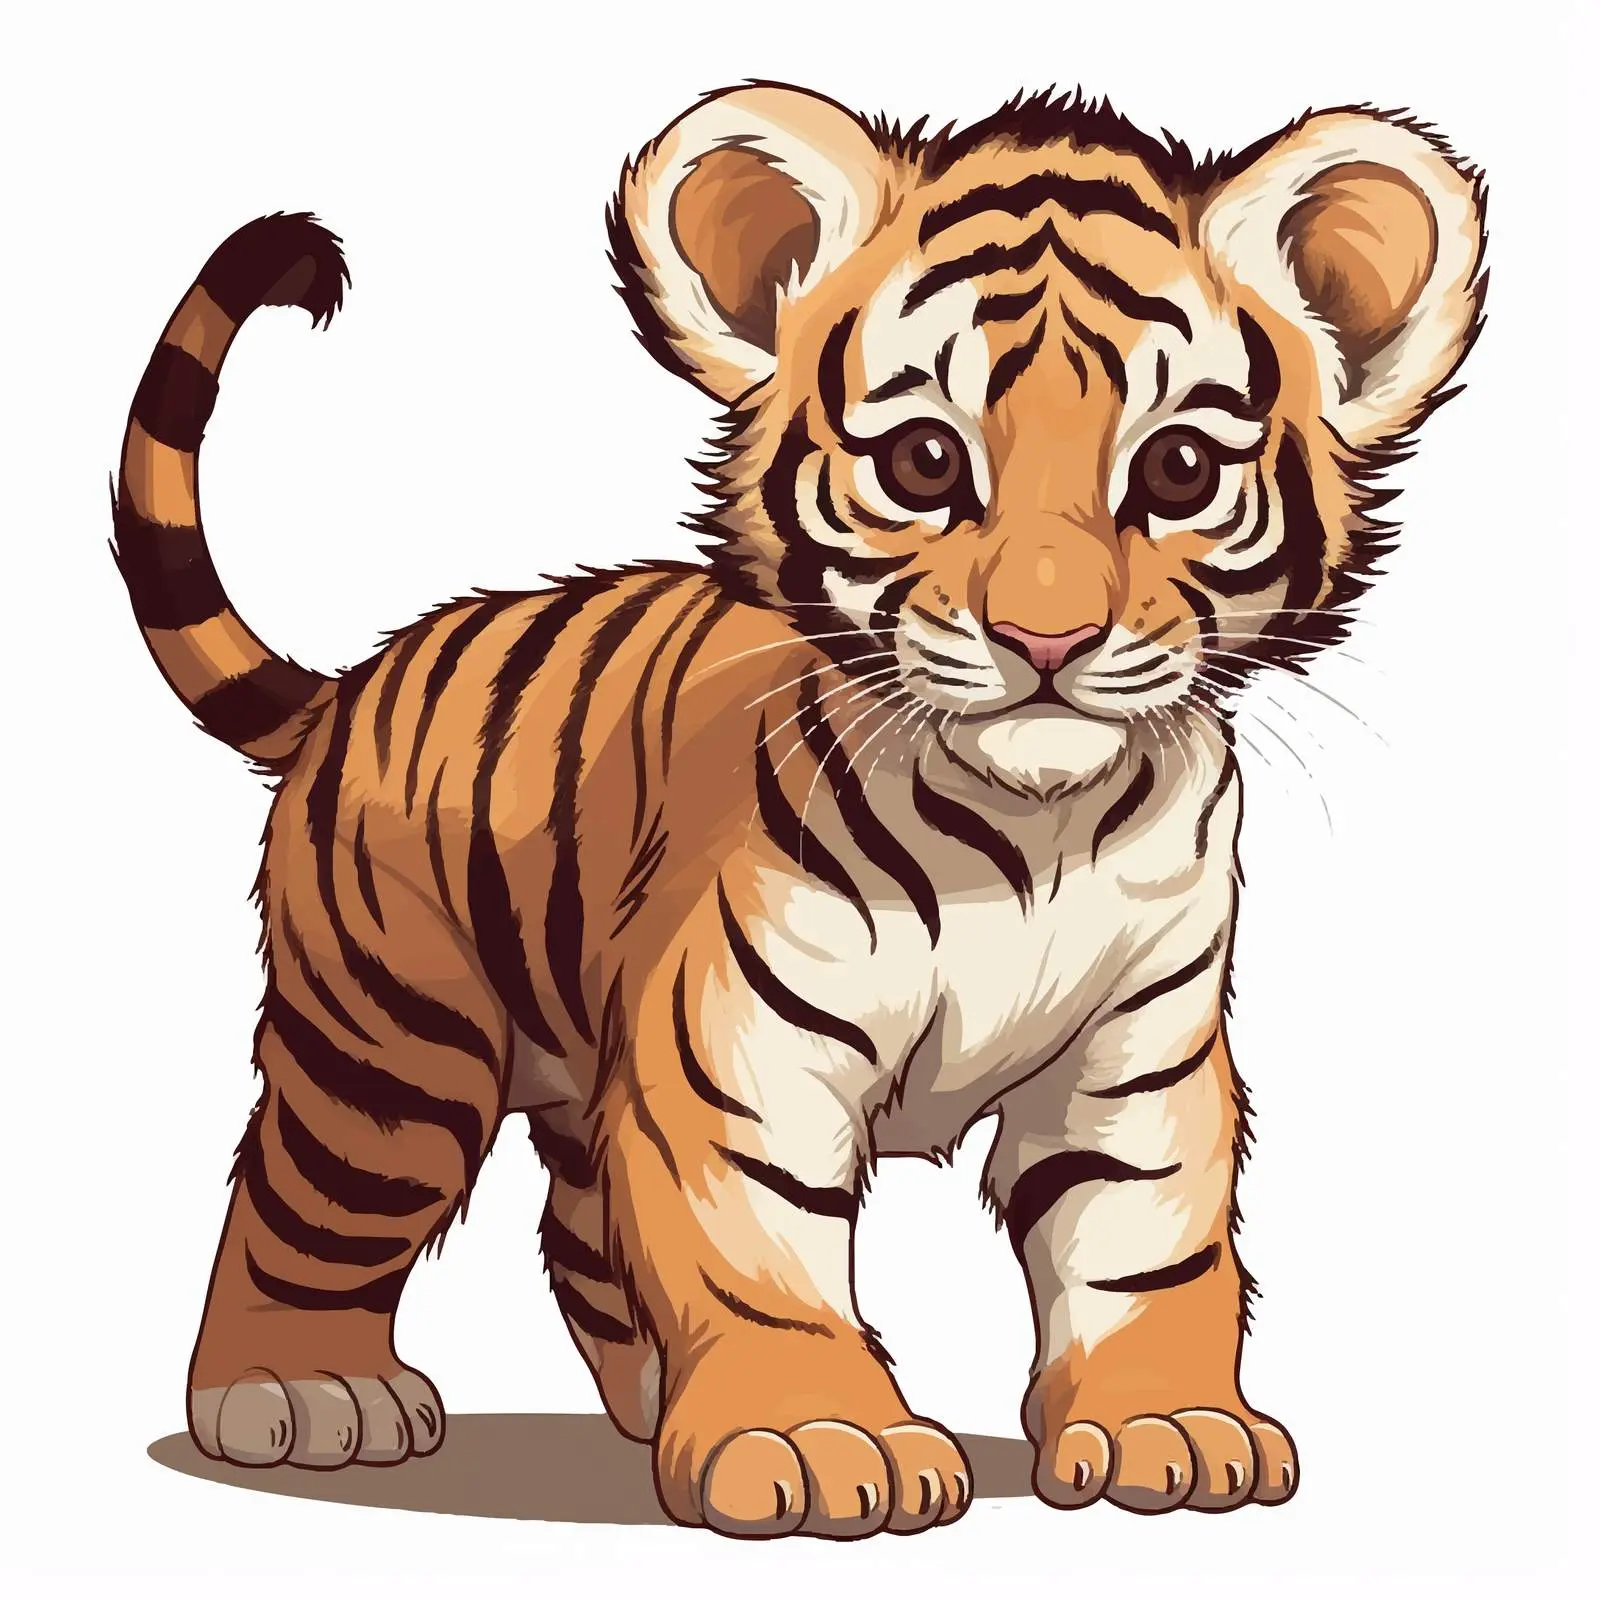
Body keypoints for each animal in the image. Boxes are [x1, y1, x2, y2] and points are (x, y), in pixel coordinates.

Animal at [113, 82, 1485, 1538]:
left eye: (1174, 473)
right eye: (926, 460)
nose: (1046, 638)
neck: (1032, 827)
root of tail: (351, 682)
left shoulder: (1135, 1049)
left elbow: (1139, 1240)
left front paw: (1161, 1422)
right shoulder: (743, 1045)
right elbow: (758, 1243)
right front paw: (818, 1439)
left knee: (581, 1225)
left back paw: (648, 1398)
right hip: (393, 1040)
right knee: (305, 1198)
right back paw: (299, 1390)